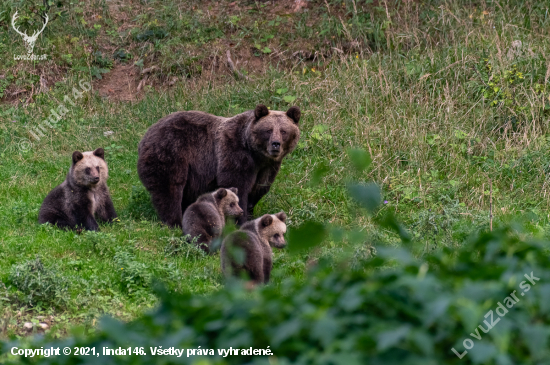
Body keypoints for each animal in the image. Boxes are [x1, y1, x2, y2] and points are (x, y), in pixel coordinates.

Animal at [137, 104, 302, 226]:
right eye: (268, 130)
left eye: (284, 131)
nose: (276, 144)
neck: (256, 154)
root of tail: (146, 134)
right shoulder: (235, 154)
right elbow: (237, 185)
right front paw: (239, 220)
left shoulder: (268, 167)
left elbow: (259, 189)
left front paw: (251, 215)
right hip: (171, 151)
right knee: (170, 189)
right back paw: (175, 221)